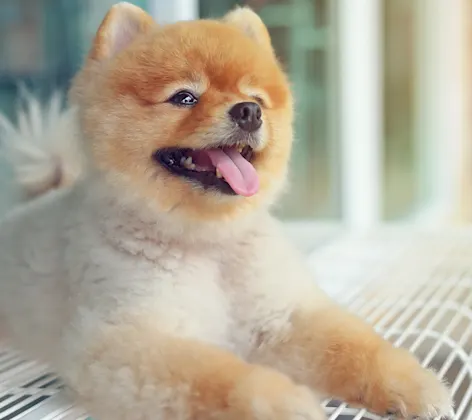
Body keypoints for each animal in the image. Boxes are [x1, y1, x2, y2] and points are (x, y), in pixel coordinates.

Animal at [0, 3, 452, 420]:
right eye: (184, 97)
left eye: (256, 98)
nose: (248, 111)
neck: (210, 245)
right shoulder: (125, 338)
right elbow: (219, 378)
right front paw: (282, 403)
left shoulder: (281, 318)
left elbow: (356, 348)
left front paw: (412, 383)